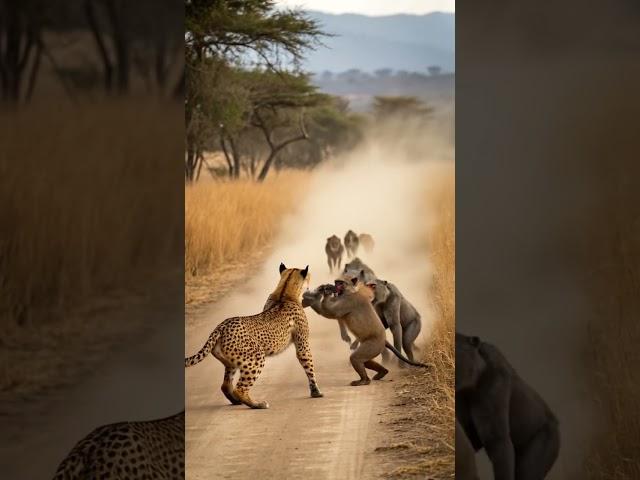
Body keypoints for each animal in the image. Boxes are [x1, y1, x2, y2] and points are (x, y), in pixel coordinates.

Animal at [186, 262, 324, 408]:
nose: (310, 285)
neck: (285, 292)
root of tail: (221, 326)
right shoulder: (303, 344)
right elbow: (309, 367)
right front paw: (316, 392)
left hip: (231, 363)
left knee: (225, 385)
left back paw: (237, 402)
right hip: (256, 357)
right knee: (240, 388)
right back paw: (257, 404)